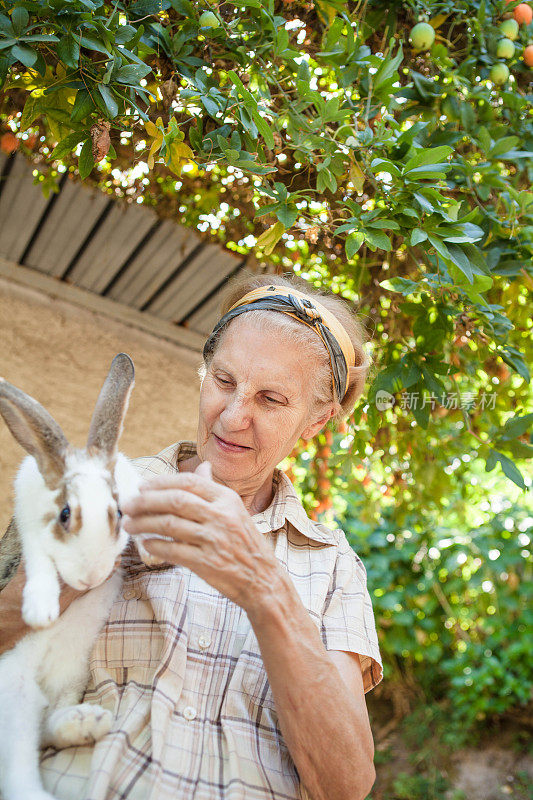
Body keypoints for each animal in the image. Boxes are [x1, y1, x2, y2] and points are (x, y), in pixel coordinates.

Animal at [0, 354, 155, 800]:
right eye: (66, 514)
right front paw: (40, 609)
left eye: (117, 512)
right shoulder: (29, 525)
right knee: (20, 764)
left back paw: (88, 723)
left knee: (47, 725)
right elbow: (39, 560)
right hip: (12, 691)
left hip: (71, 677)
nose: (89, 580)